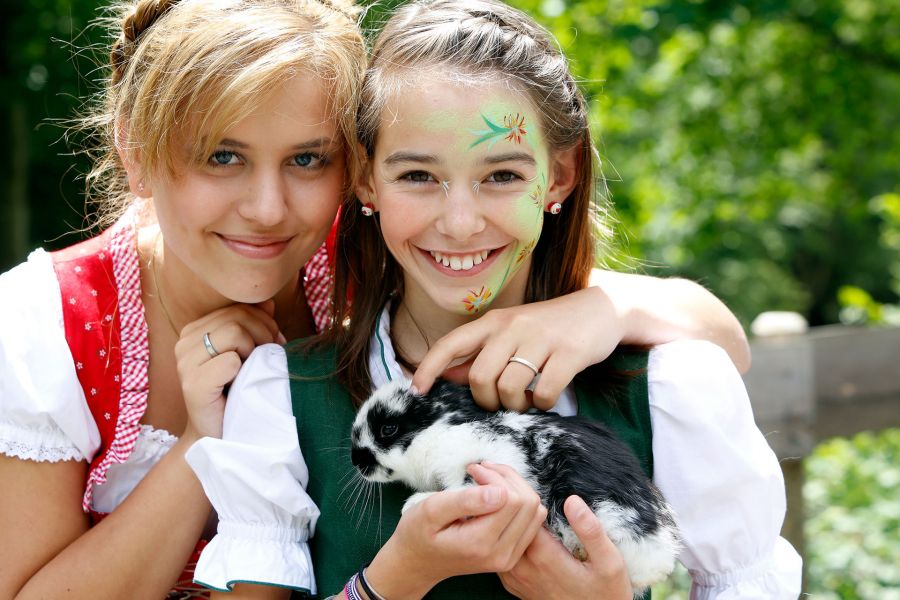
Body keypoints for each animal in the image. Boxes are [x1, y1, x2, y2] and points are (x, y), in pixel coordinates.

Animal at [350, 378, 682, 594]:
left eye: (388, 428)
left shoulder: (489, 460)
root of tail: (659, 556)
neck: (438, 432)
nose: (356, 460)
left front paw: (415, 504)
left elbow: (462, 488)